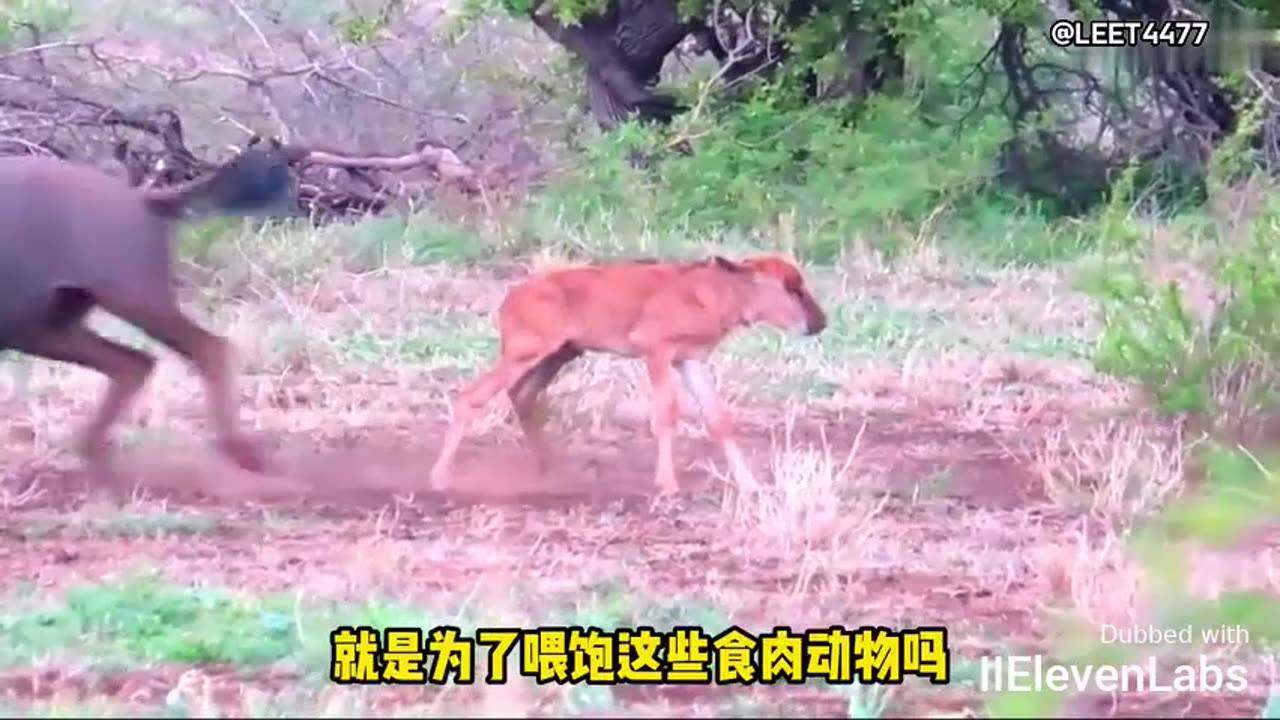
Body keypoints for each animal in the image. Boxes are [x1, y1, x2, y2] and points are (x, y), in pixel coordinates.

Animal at [0, 140, 293, 486]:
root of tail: (144, 200)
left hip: (132, 300)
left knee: (207, 348)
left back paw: (239, 451)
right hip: (44, 328)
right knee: (134, 362)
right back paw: (100, 465)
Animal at [430, 254, 829, 497]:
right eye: (791, 287)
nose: (820, 322)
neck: (713, 291)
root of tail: (508, 300)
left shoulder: (690, 360)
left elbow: (718, 418)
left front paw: (750, 484)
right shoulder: (657, 352)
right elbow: (666, 415)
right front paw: (667, 484)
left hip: (558, 355)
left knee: (522, 397)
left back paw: (552, 470)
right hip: (527, 354)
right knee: (471, 397)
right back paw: (440, 477)